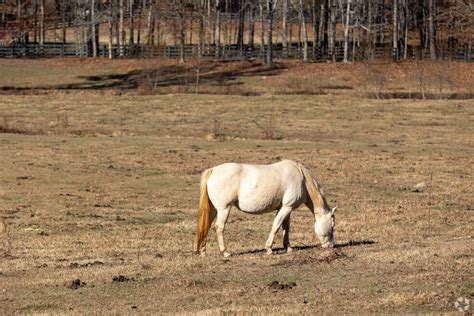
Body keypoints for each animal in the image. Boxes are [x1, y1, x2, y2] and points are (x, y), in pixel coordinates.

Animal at [196, 160, 336, 256]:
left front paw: (288, 247)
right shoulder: (287, 207)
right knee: (219, 227)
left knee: (207, 225)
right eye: (332, 226)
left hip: (214, 210)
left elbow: (285, 227)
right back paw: (225, 252)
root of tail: (213, 170)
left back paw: (203, 251)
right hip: (224, 209)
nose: (331, 246)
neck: (301, 178)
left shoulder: (285, 208)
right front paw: (269, 248)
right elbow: (276, 226)